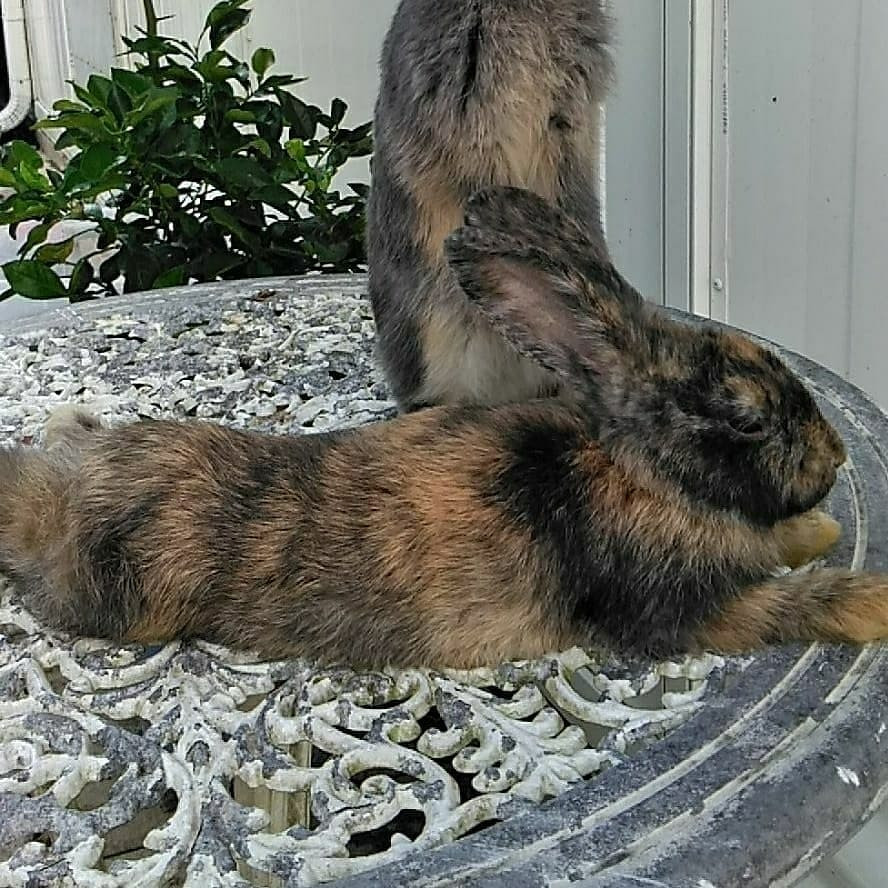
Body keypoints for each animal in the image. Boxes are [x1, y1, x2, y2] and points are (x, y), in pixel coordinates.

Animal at [2, 186, 884, 671]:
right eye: (746, 416)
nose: (837, 457)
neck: (639, 471)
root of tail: (48, 509)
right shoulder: (679, 611)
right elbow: (789, 603)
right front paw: (872, 601)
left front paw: (810, 533)